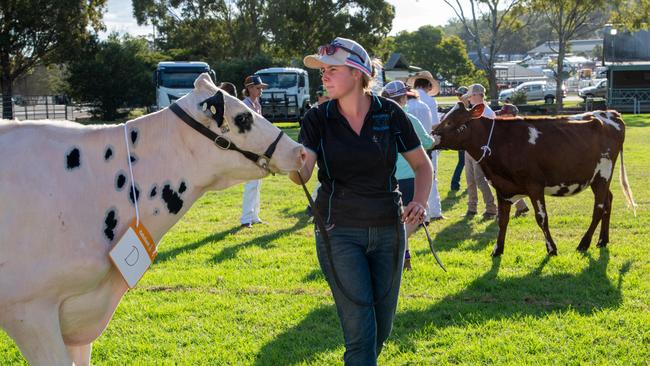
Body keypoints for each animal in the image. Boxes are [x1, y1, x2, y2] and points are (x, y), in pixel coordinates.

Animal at [430, 103, 632, 256]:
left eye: (450, 122)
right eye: (444, 117)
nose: (432, 137)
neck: (501, 141)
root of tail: (611, 114)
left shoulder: (535, 186)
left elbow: (542, 218)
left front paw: (551, 249)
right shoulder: (502, 187)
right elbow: (502, 220)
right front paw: (497, 250)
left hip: (603, 174)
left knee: (599, 207)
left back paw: (584, 243)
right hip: (596, 177)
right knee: (608, 201)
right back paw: (602, 240)